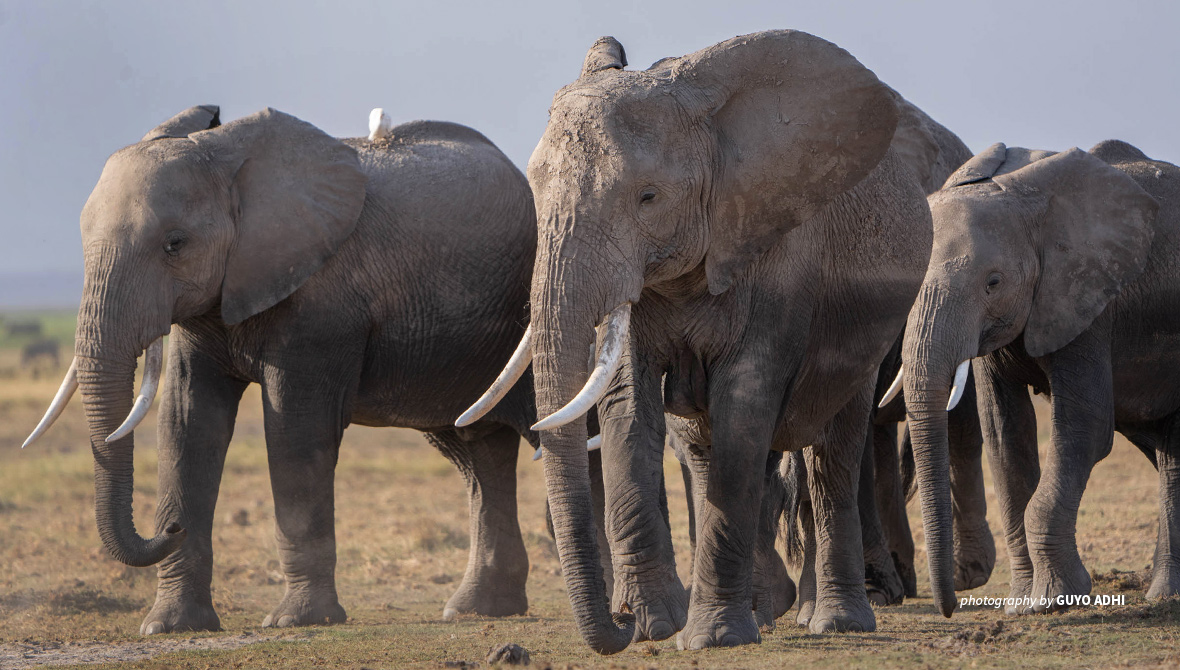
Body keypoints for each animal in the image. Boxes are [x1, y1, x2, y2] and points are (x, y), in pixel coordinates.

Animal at [23, 104, 540, 632]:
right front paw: (169, 626)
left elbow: (295, 430)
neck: (225, 156)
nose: (170, 527)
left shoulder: (321, 299)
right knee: (479, 453)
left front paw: (298, 621)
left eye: (175, 244)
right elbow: (187, 424)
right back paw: (477, 609)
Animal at [455, 28, 934, 651]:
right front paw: (656, 628)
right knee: (708, 453)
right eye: (534, 189)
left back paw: (834, 620)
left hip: (869, 328)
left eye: (648, 197)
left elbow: (744, 403)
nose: (618, 623)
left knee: (833, 455)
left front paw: (710, 638)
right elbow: (628, 406)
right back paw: (764, 614)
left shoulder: (776, 261)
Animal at [896, 138, 1175, 613]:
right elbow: (1004, 436)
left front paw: (1055, 600)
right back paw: (1164, 594)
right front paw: (1021, 604)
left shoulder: (1089, 299)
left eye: (993, 283)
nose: (949, 607)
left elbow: (1084, 429)